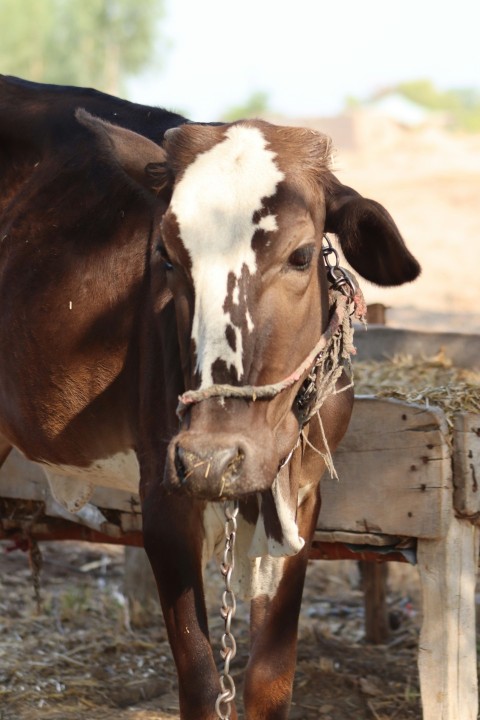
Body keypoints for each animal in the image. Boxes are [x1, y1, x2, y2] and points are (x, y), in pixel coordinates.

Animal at [0, 76, 420, 716]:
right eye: (167, 256)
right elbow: (200, 678)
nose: (214, 459)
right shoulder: (165, 489)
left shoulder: (301, 495)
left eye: (301, 255)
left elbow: (269, 679)